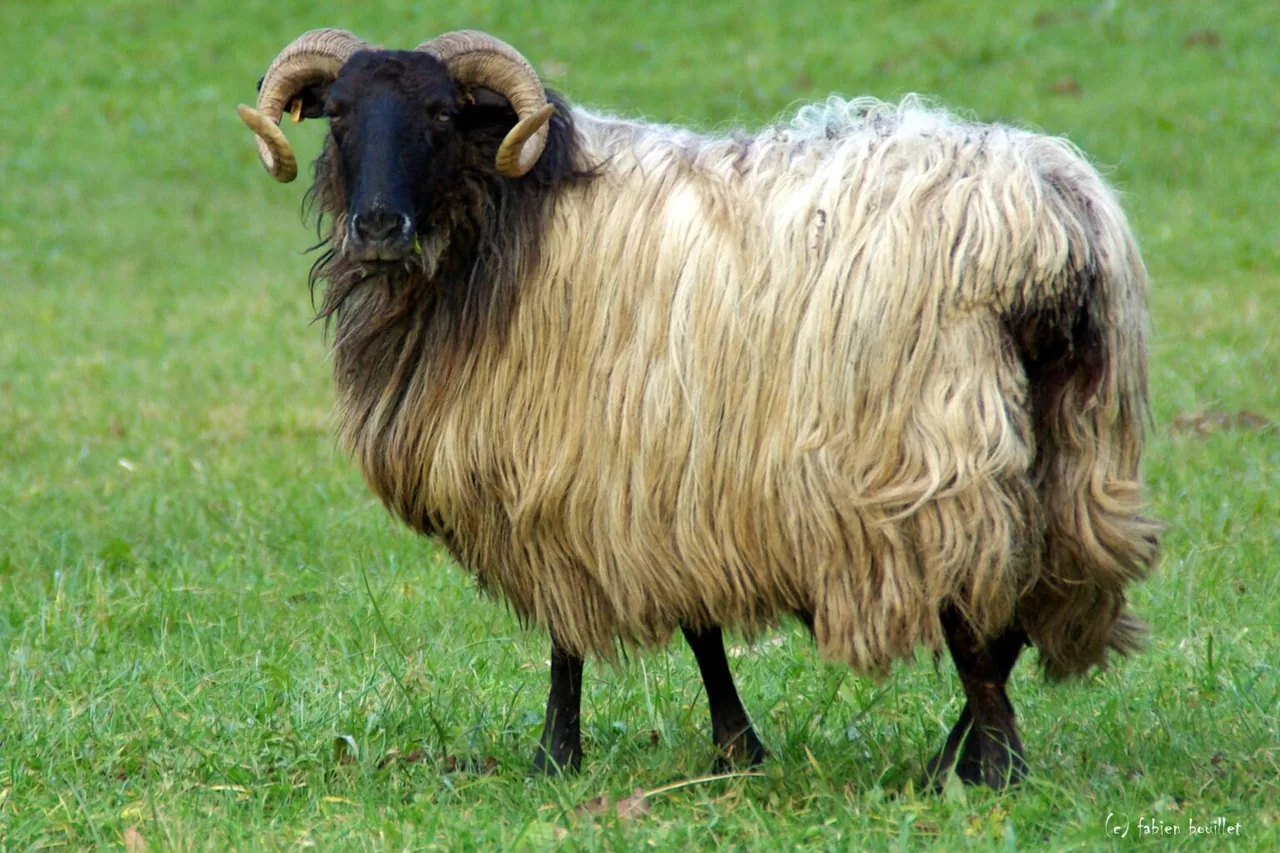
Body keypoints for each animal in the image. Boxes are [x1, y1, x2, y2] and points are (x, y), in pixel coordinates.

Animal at [237, 28, 1162, 788]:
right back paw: (958, 755)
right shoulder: (673, 479)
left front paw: (557, 756)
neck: (506, 215)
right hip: (1078, 442)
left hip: (934, 447)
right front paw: (735, 747)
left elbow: (575, 637)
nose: (378, 226)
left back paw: (992, 766)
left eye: (439, 113)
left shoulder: (579, 470)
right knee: (1023, 606)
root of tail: (1047, 225)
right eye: (339, 117)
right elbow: (699, 628)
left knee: (977, 615)